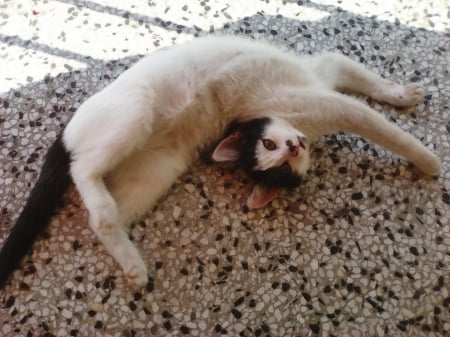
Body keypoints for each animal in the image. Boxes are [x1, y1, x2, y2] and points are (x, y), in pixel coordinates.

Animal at [0, 36, 440, 288]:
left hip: (156, 171)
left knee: (102, 221)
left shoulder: (329, 68)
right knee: (82, 168)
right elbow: (382, 128)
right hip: (135, 113)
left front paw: (401, 94)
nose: (292, 148)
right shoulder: (327, 102)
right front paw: (429, 160)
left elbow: (368, 82)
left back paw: (132, 265)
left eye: (282, 167)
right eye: (267, 145)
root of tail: (68, 128)